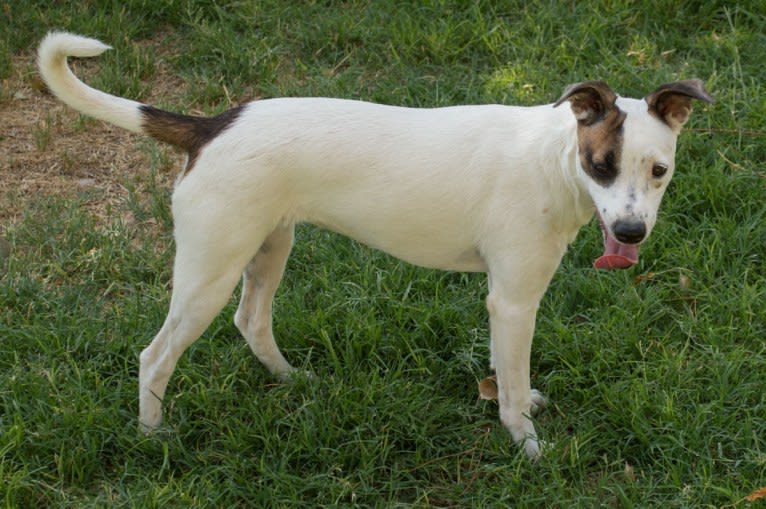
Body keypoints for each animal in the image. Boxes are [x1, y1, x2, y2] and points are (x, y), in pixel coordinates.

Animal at [39, 32, 716, 460]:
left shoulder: (505, 304)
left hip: (269, 248)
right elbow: (514, 381)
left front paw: (513, 400)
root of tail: (210, 125)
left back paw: (292, 380)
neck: (552, 159)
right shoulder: (516, 300)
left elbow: (506, 369)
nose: (629, 234)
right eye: (601, 165)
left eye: (659, 170)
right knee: (156, 356)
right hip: (209, 270)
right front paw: (525, 442)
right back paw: (154, 437)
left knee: (251, 321)